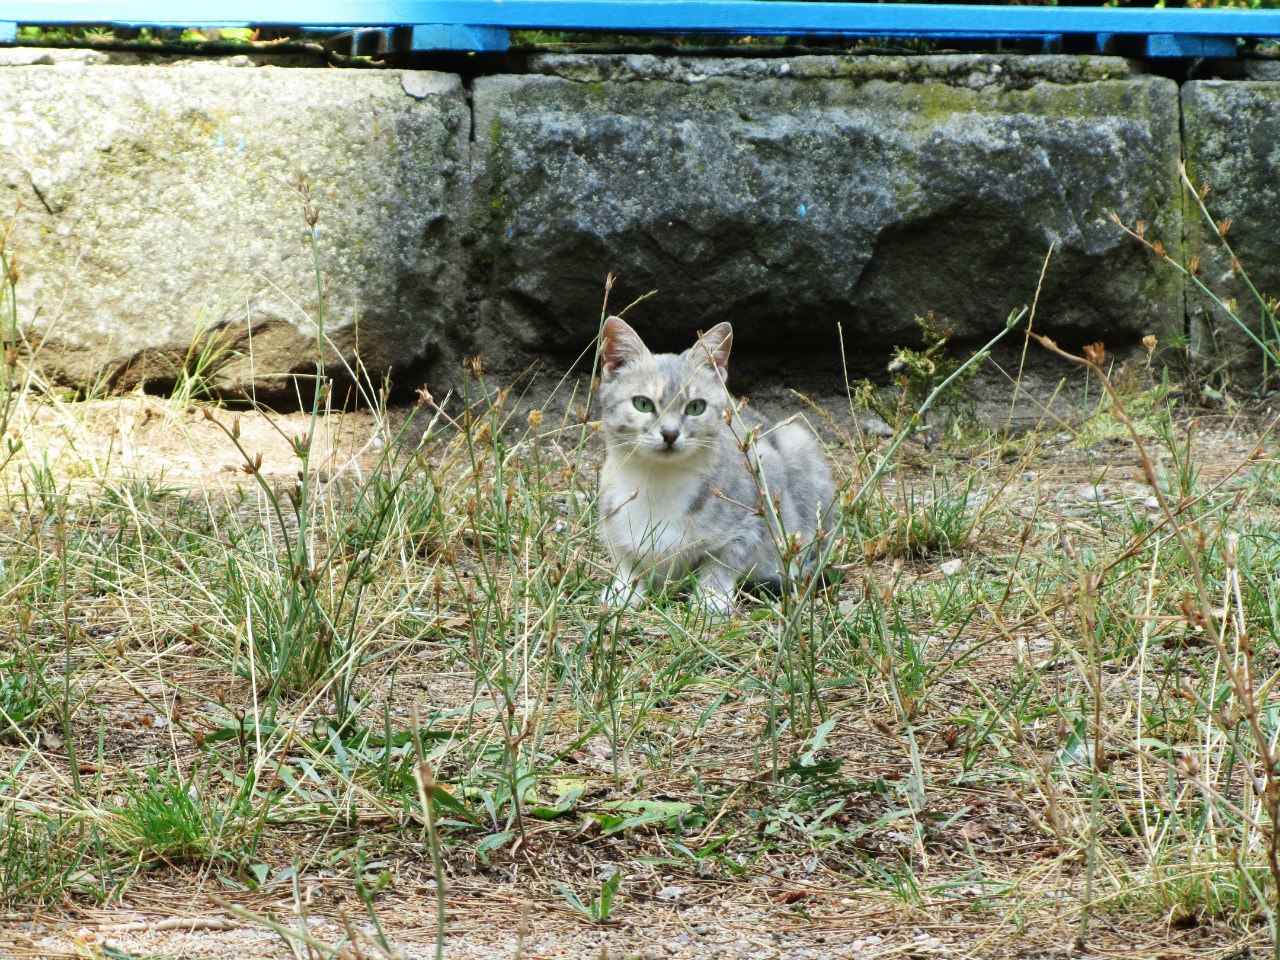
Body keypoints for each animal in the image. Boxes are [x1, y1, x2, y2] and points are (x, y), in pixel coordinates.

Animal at [593, 317, 834, 616]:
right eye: (642, 403)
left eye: (696, 407)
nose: (670, 433)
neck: (659, 481)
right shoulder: (611, 521)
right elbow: (626, 561)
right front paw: (624, 592)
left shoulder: (750, 521)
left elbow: (722, 562)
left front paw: (711, 599)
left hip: (798, 444)